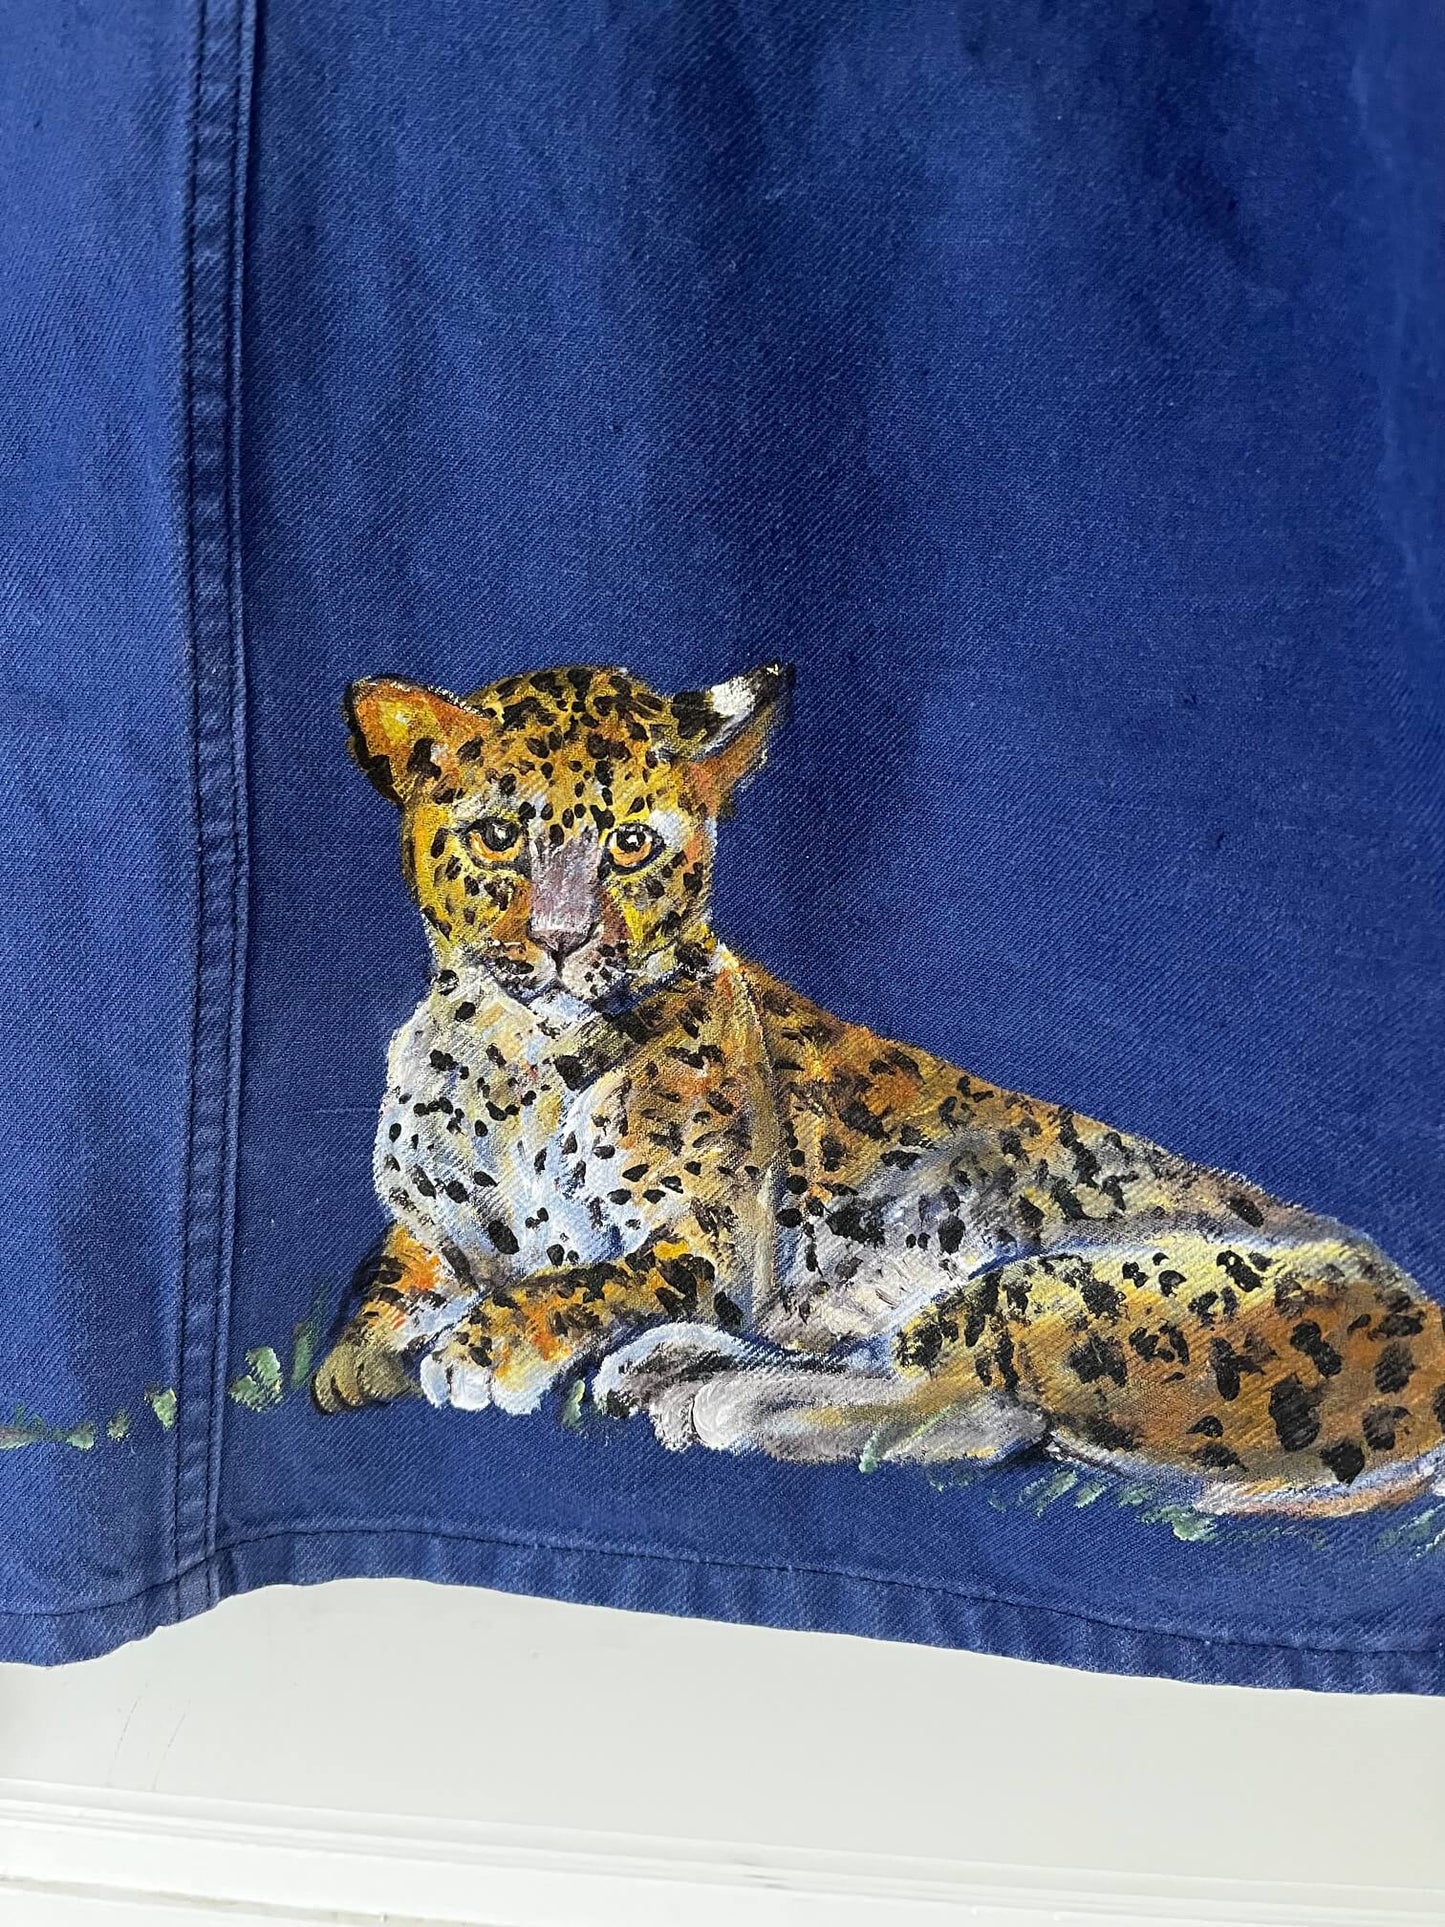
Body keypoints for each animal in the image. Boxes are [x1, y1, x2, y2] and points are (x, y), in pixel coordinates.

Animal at [312, 661, 1445, 1516]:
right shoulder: (433, 1224)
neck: (517, 1058)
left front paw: (484, 1345)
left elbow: (582, 1280)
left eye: (629, 844)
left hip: (1048, 1285)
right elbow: (395, 1265)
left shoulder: (707, 1246)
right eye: (499, 837)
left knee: (975, 1408)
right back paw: (673, 1367)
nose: (560, 941)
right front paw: (357, 1353)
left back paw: (695, 1390)